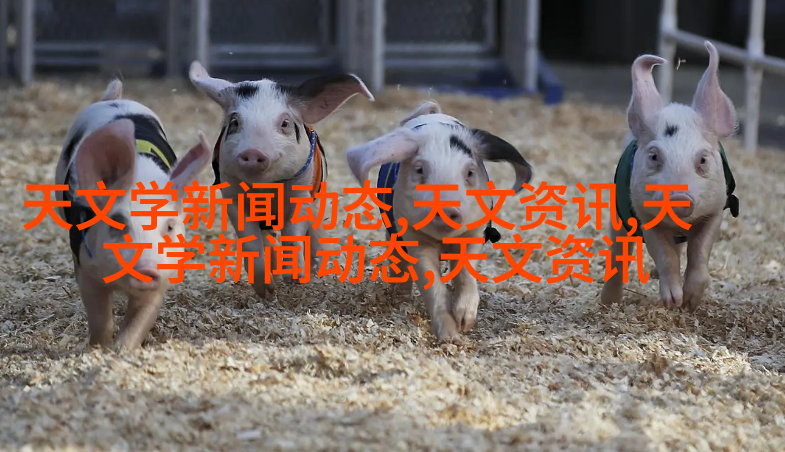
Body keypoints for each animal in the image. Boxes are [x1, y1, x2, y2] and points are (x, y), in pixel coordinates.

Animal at [54, 79, 214, 350]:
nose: (146, 268)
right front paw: (99, 348)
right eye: (117, 222)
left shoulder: (163, 274)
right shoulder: (86, 267)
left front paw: (121, 350)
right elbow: (100, 316)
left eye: (170, 227)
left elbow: (140, 320)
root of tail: (116, 99)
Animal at [187, 61, 375, 299]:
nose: (253, 152)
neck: (267, 188)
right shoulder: (232, 195)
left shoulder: (302, 192)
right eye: (235, 122)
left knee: (316, 235)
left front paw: (296, 279)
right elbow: (251, 242)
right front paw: (267, 290)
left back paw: (316, 270)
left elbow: (293, 234)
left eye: (285, 123)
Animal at [344, 101, 533, 342]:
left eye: (470, 172)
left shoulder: (475, 232)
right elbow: (430, 281)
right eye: (419, 169)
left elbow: (465, 273)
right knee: (398, 259)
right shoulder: (414, 235)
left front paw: (465, 324)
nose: (446, 207)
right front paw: (451, 337)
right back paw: (399, 294)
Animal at [600, 40, 740, 311]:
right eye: (654, 156)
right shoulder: (644, 215)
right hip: (618, 219)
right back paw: (608, 302)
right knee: (620, 253)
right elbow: (665, 256)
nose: (679, 197)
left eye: (703, 160)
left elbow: (699, 252)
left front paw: (690, 302)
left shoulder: (716, 210)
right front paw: (673, 302)